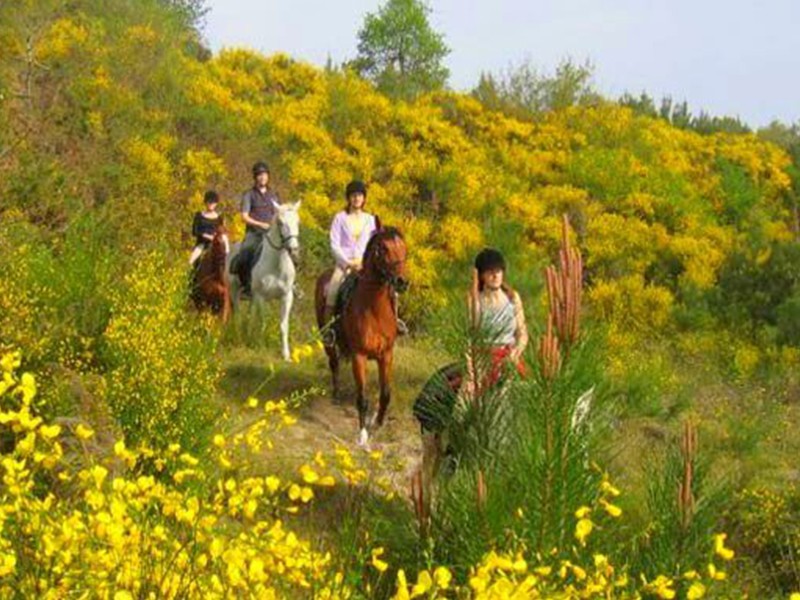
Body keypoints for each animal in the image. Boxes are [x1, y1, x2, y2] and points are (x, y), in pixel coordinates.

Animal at [227, 202, 302, 360]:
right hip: (235, 291)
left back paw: (248, 334)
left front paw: (286, 355)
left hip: (252, 297)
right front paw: (260, 345)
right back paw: (239, 335)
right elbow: (263, 321)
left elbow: (283, 325)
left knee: (250, 315)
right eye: (280, 223)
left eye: (298, 222)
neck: (276, 265)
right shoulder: (261, 296)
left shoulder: (286, 297)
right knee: (238, 314)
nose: (294, 249)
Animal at [314, 227, 410, 448]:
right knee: (334, 364)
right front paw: (362, 436)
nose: (402, 282)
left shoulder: (386, 355)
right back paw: (336, 395)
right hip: (327, 340)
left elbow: (385, 393)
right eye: (383, 248)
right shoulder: (359, 356)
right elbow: (362, 398)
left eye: (403, 247)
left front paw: (378, 423)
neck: (374, 310)